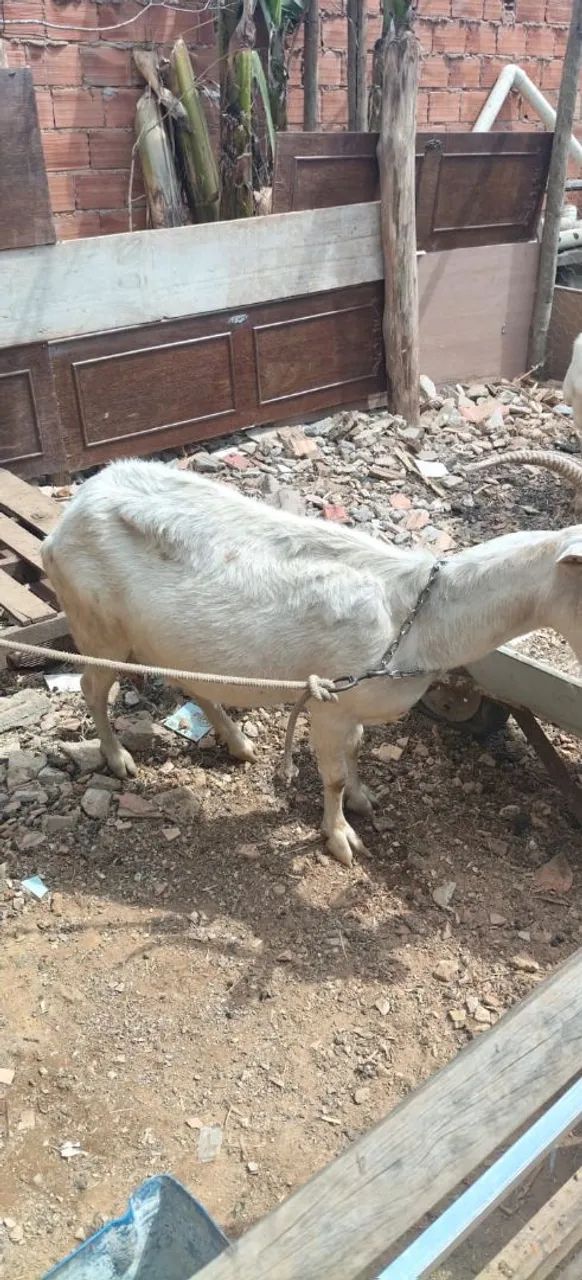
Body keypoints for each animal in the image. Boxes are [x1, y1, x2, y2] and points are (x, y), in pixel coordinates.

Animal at [41, 458, 582, 867]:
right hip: (98, 629)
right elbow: (333, 774)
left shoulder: (353, 702)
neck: (415, 614)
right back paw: (119, 759)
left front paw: (364, 800)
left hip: (170, 640)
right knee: (93, 688)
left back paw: (239, 744)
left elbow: (356, 751)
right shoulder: (330, 702)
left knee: (194, 684)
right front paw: (341, 839)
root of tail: (64, 522)